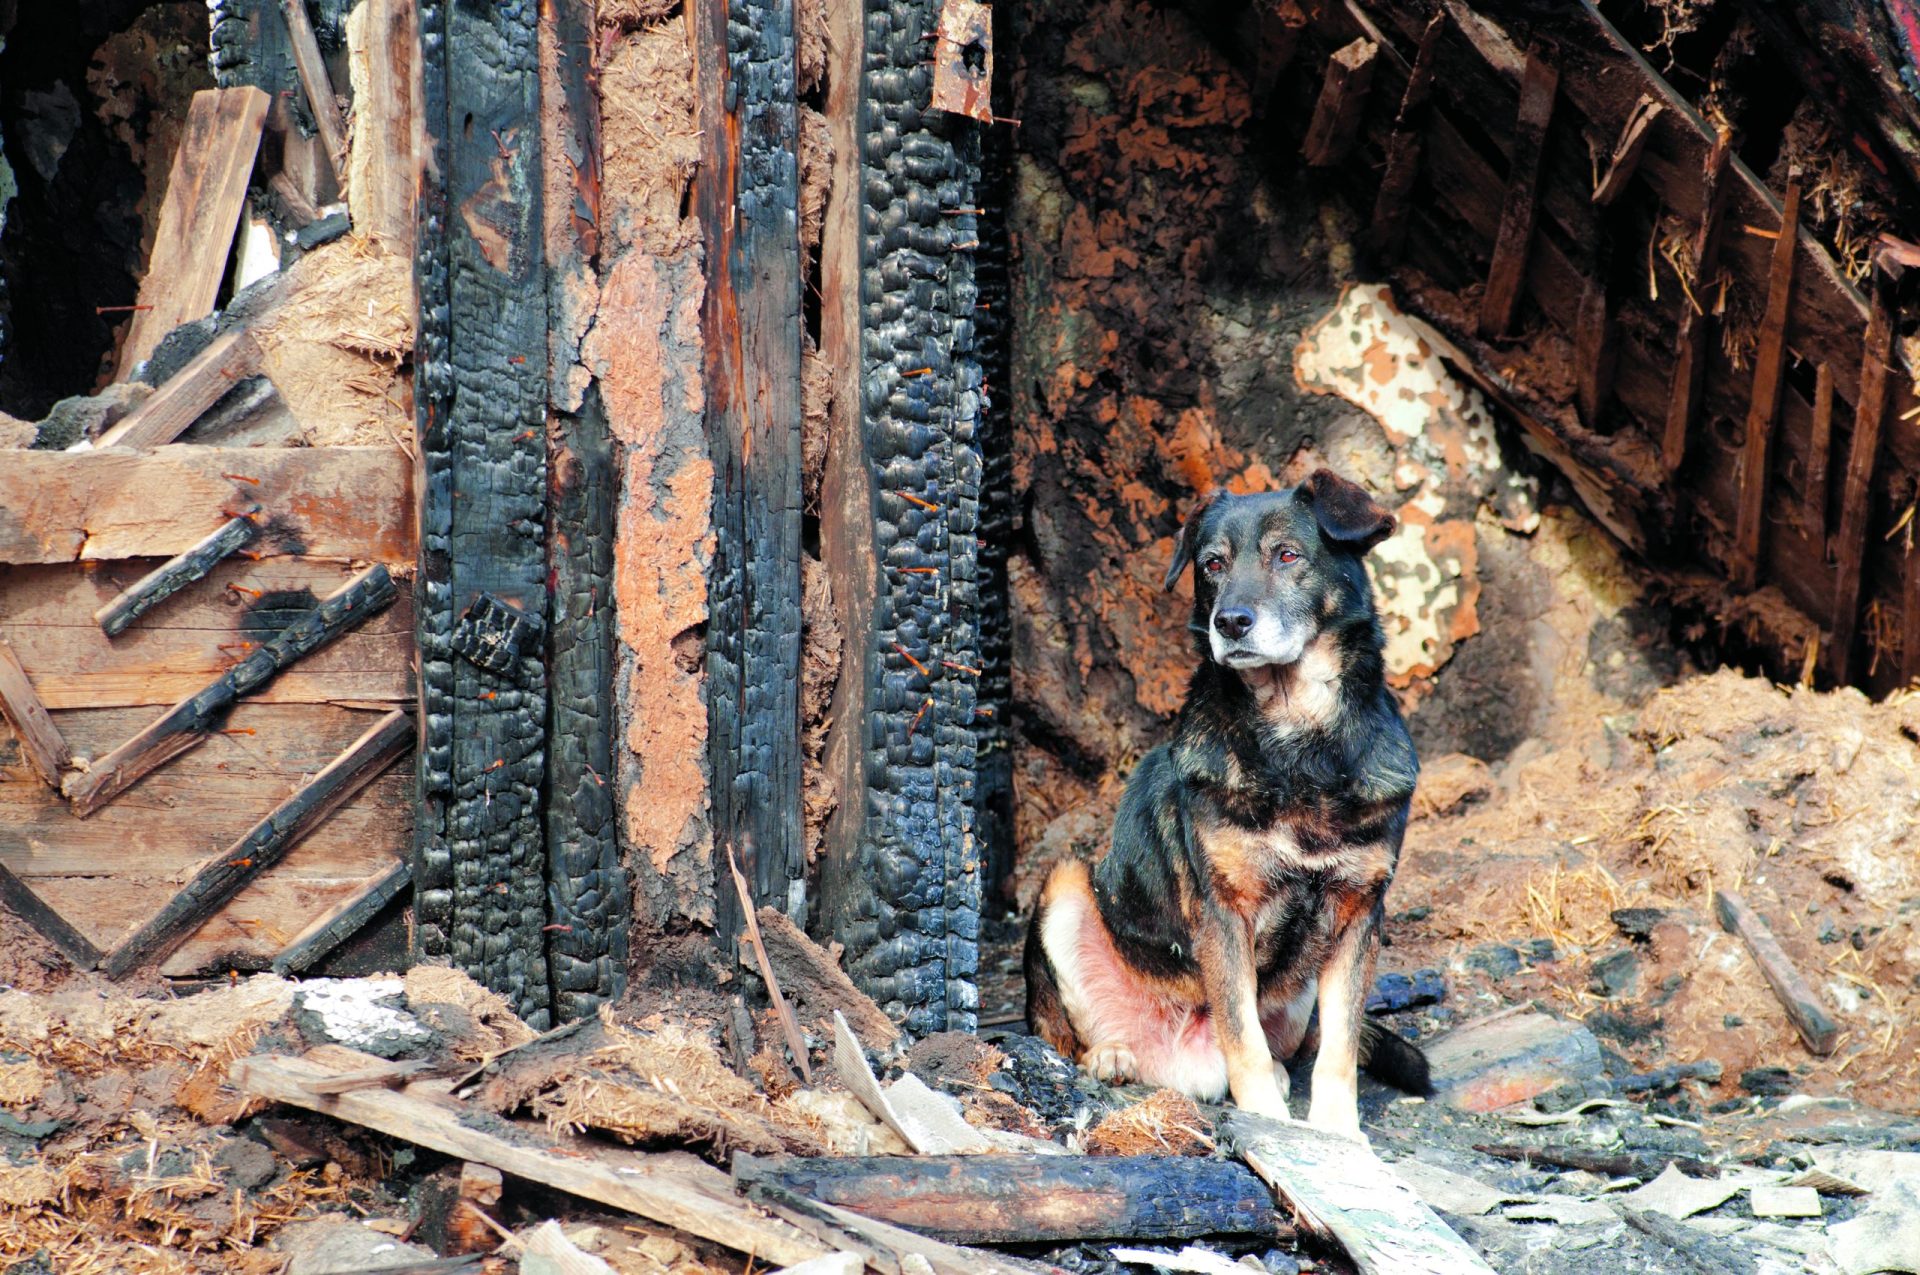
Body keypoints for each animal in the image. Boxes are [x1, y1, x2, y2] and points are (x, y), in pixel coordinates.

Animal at [1036, 468, 1428, 1136]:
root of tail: (1180, 1058)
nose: (1231, 622)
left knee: (1288, 1048)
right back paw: (1112, 1053)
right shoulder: (1224, 914)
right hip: (1064, 885)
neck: (1299, 745)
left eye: (1288, 555)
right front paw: (1268, 1120)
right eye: (1212, 565)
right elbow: (1242, 1036)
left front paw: (1339, 1131)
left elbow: (1339, 1049)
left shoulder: (1357, 916)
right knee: (1065, 1033)